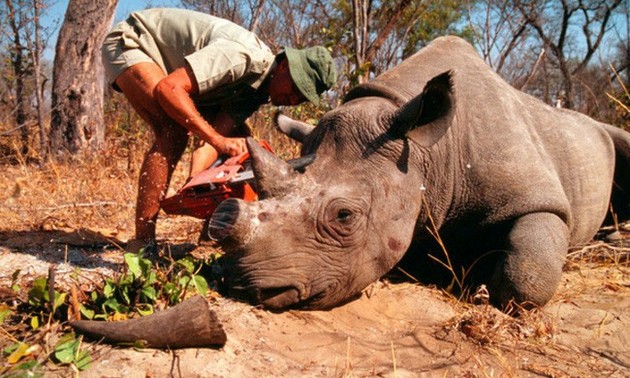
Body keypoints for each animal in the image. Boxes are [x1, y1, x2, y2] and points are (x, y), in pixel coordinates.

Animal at [211, 37, 630, 312]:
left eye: (344, 216)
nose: (247, 286)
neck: (426, 151)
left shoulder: (537, 196)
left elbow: (525, 278)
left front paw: (482, 286)